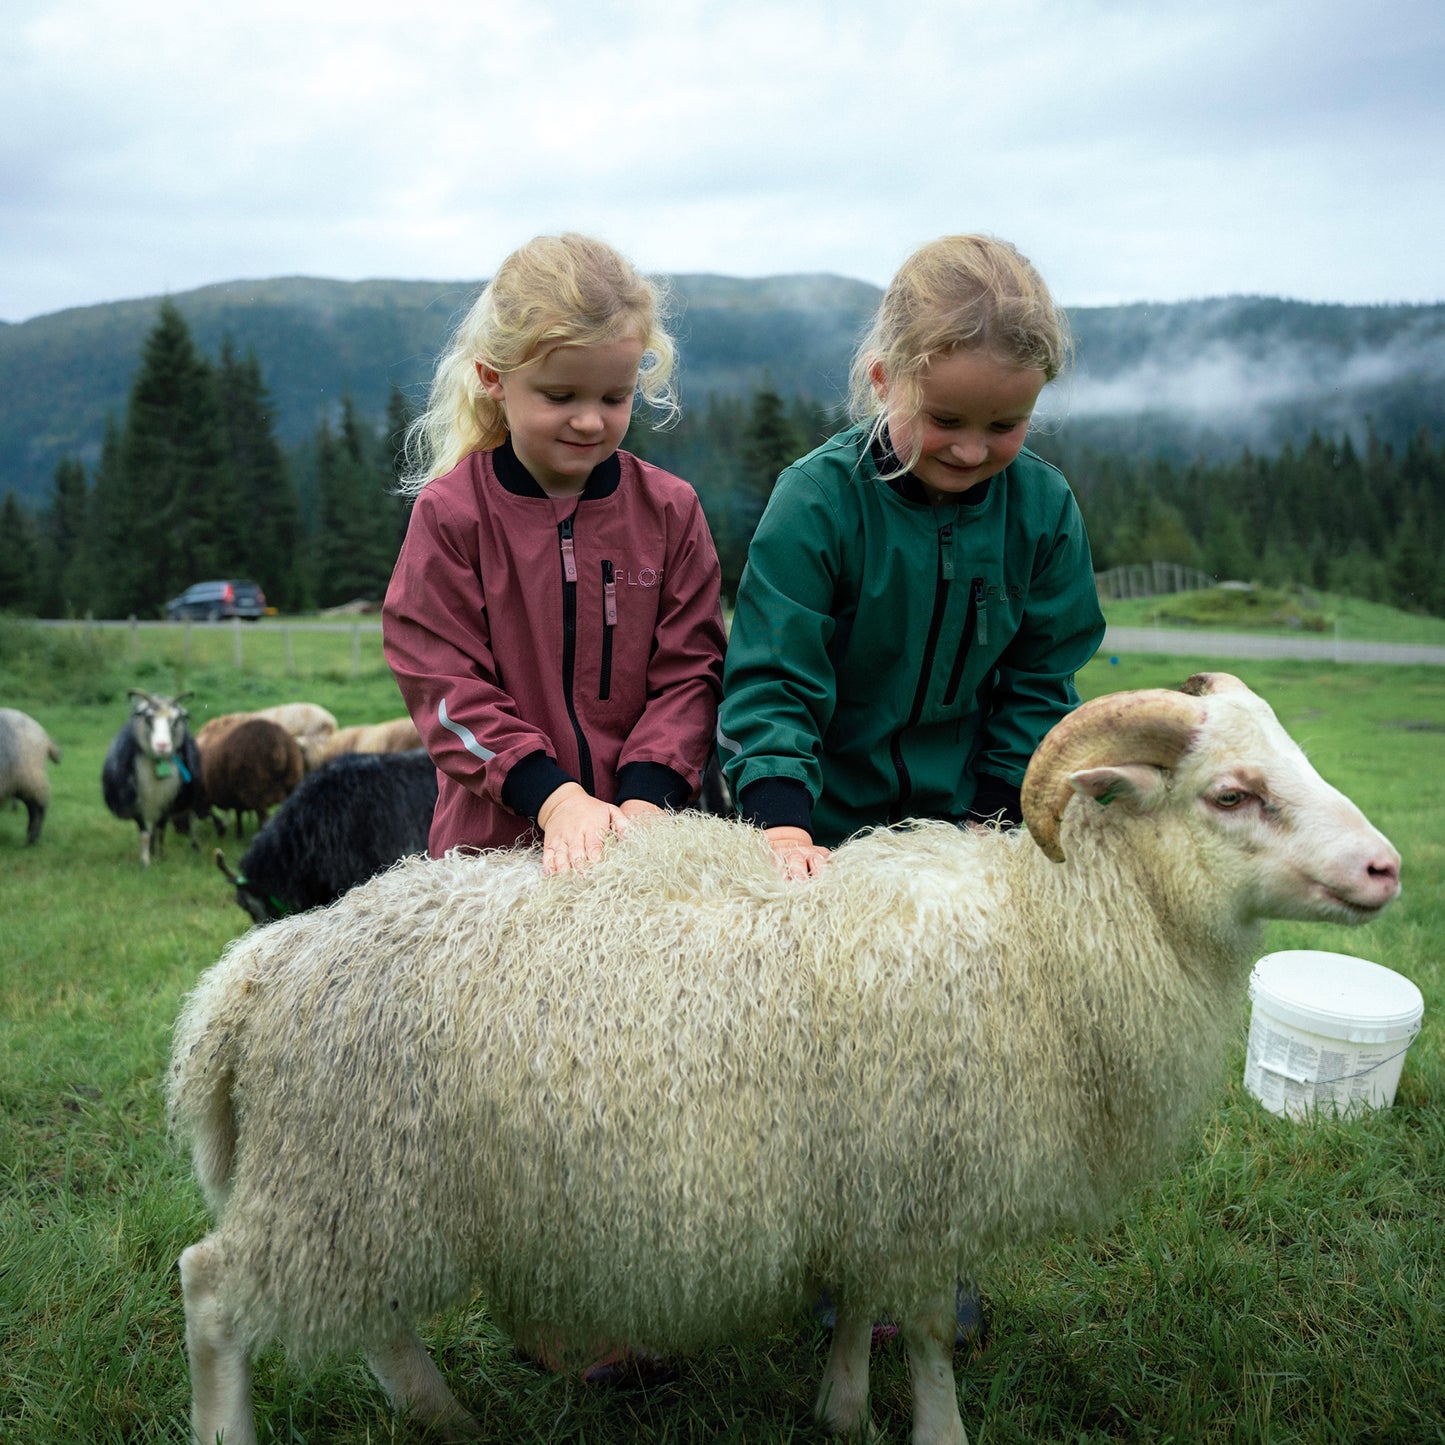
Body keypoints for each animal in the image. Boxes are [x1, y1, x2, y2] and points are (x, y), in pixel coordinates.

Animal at [103, 690, 206, 867]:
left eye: (176, 719)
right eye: (148, 718)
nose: (162, 746)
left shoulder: (167, 800)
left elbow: (161, 829)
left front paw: (160, 856)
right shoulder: (135, 805)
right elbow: (144, 833)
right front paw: (145, 862)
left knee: (187, 820)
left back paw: (194, 847)